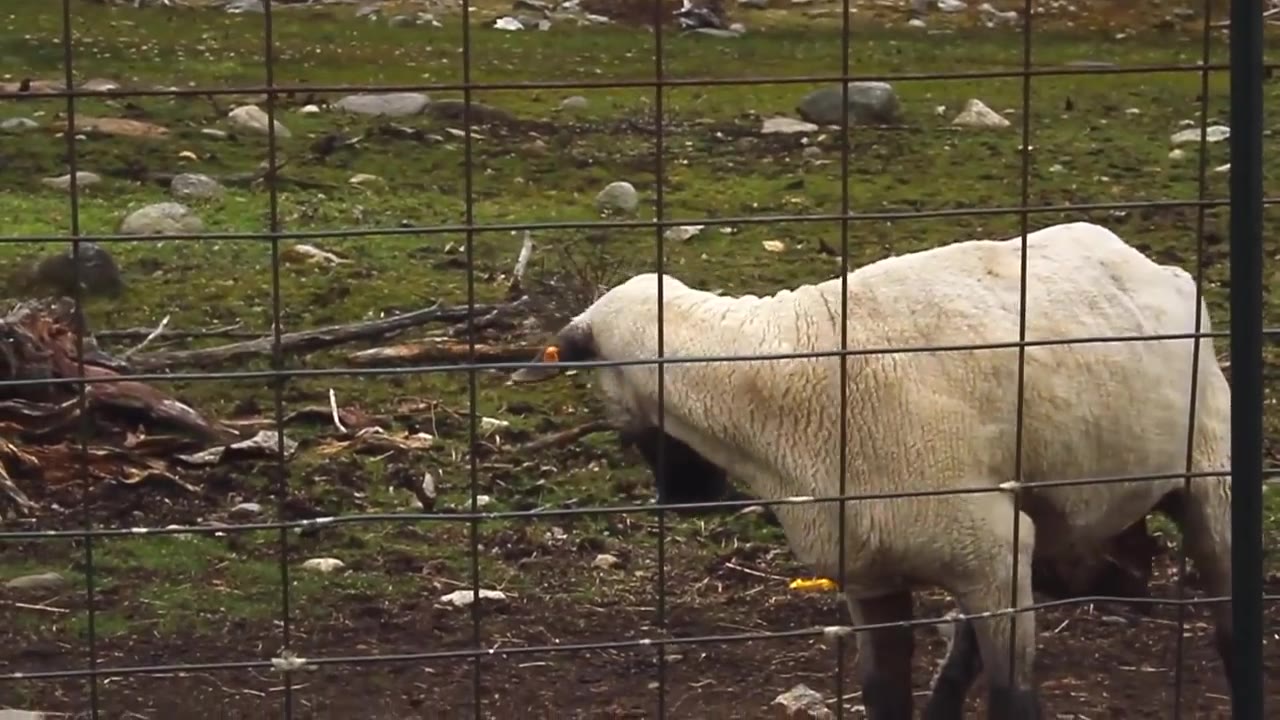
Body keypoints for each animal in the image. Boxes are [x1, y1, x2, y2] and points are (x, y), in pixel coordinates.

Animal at [509, 220, 1233, 720]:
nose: (685, 498)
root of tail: (1150, 262)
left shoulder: (991, 556)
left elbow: (1014, 699)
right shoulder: (874, 571)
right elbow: (884, 695)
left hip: (1208, 474)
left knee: (1226, 601)